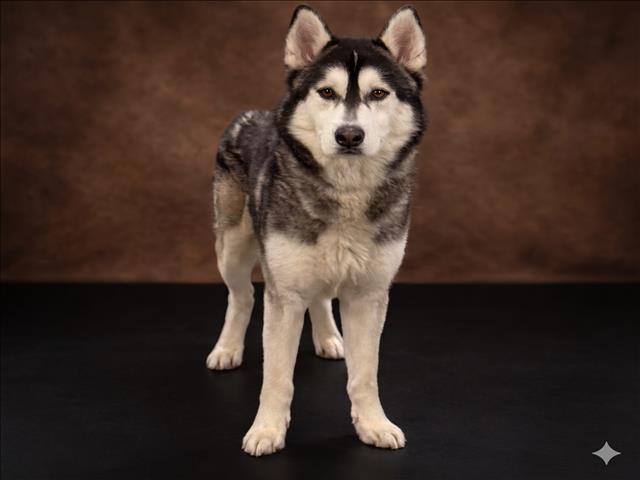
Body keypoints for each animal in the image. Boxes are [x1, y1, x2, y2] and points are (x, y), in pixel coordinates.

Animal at [206, 5, 427, 456]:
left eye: (379, 94)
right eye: (326, 92)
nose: (349, 135)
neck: (346, 191)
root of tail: (253, 114)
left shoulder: (370, 295)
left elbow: (366, 374)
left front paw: (373, 423)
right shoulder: (285, 293)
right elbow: (277, 377)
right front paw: (267, 430)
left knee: (321, 297)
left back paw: (329, 337)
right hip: (233, 248)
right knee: (242, 296)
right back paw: (227, 348)